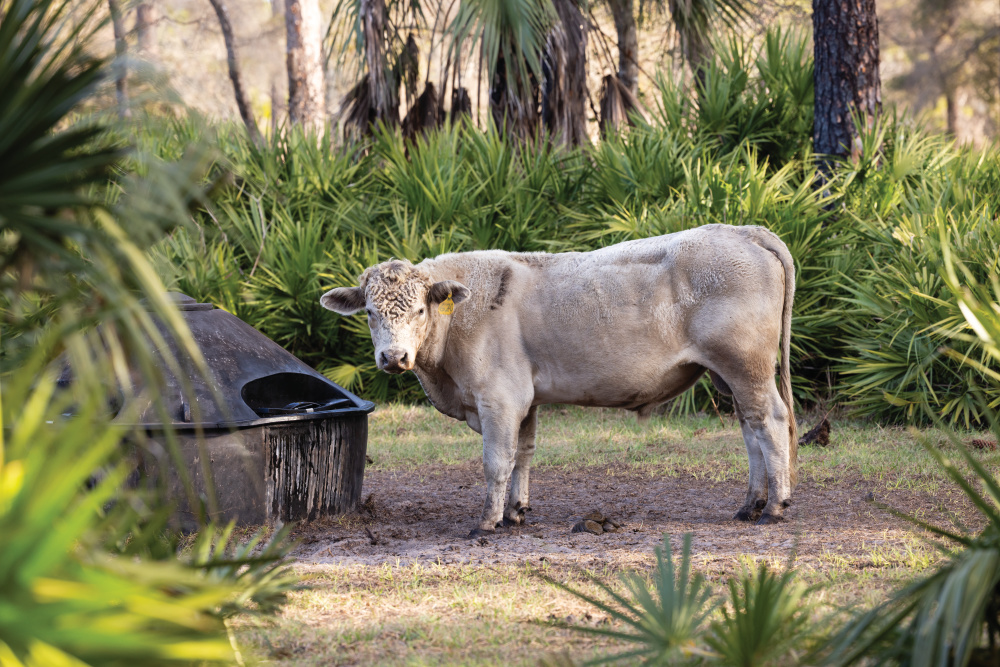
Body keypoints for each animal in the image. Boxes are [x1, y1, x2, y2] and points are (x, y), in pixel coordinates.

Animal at [321, 224, 797, 537]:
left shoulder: (499, 399)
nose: (393, 357)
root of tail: (741, 230)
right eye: (370, 312)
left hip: (745, 366)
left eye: (420, 309)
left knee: (771, 421)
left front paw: (487, 521)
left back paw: (774, 506)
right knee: (750, 428)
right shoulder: (525, 401)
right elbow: (523, 455)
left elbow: (497, 460)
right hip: (727, 375)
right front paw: (515, 512)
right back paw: (749, 504)